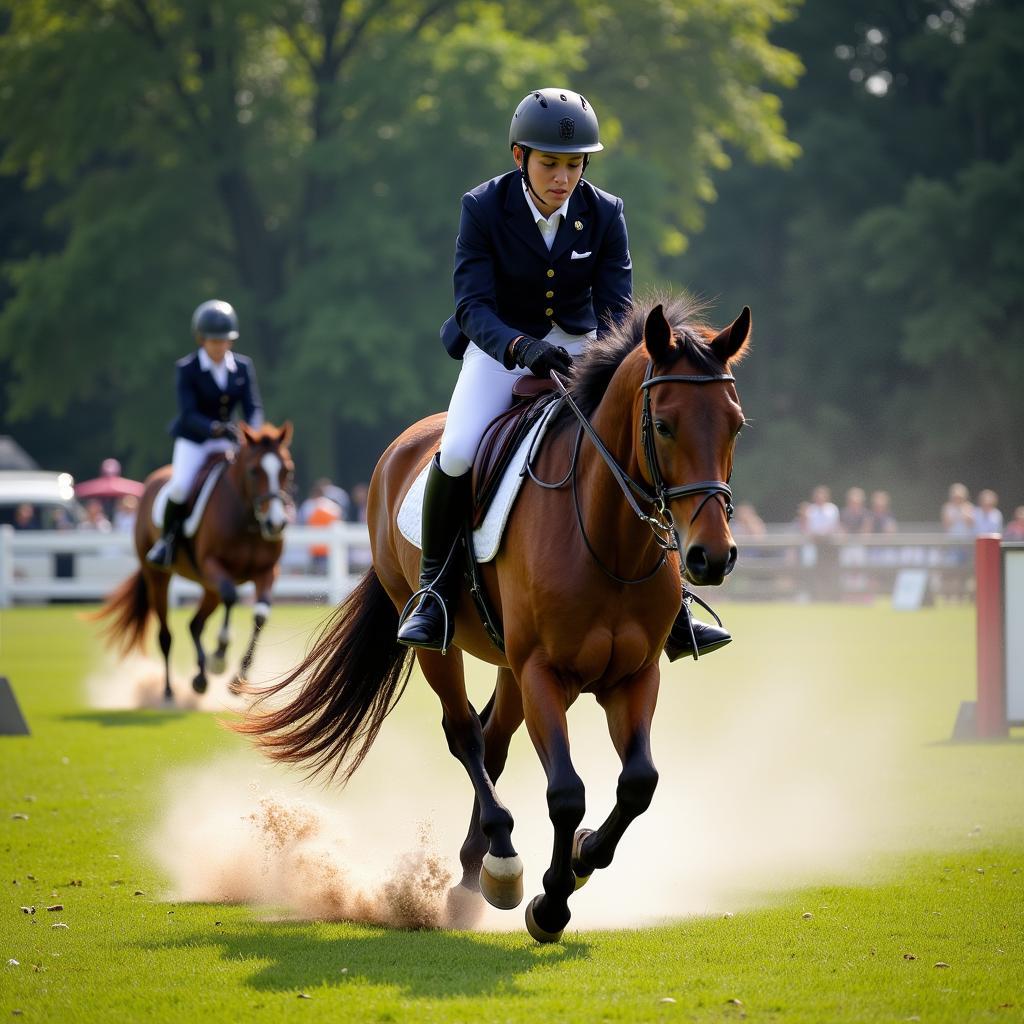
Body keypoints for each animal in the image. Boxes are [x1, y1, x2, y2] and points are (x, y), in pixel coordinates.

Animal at [96, 421, 294, 704]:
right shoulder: (213, 564)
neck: (247, 518)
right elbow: (232, 597)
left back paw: (200, 679)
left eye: (287, 470)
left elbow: (260, 615)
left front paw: (238, 680)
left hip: (208, 586)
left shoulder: (266, 572)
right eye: (254, 471)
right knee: (166, 634)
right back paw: (169, 692)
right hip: (159, 577)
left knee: (195, 624)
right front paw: (220, 656)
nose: (275, 524)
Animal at [235, 292, 749, 937]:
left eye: (736, 424)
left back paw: (470, 873)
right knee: (465, 735)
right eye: (663, 425)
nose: (712, 556)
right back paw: (500, 860)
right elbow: (566, 792)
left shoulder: (633, 676)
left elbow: (637, 784)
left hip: (508, 664)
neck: (608, 541)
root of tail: (404, 446)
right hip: (442, 642)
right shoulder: (543, 674)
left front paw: (582, 857)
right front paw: (551, 902)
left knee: (493, 739)